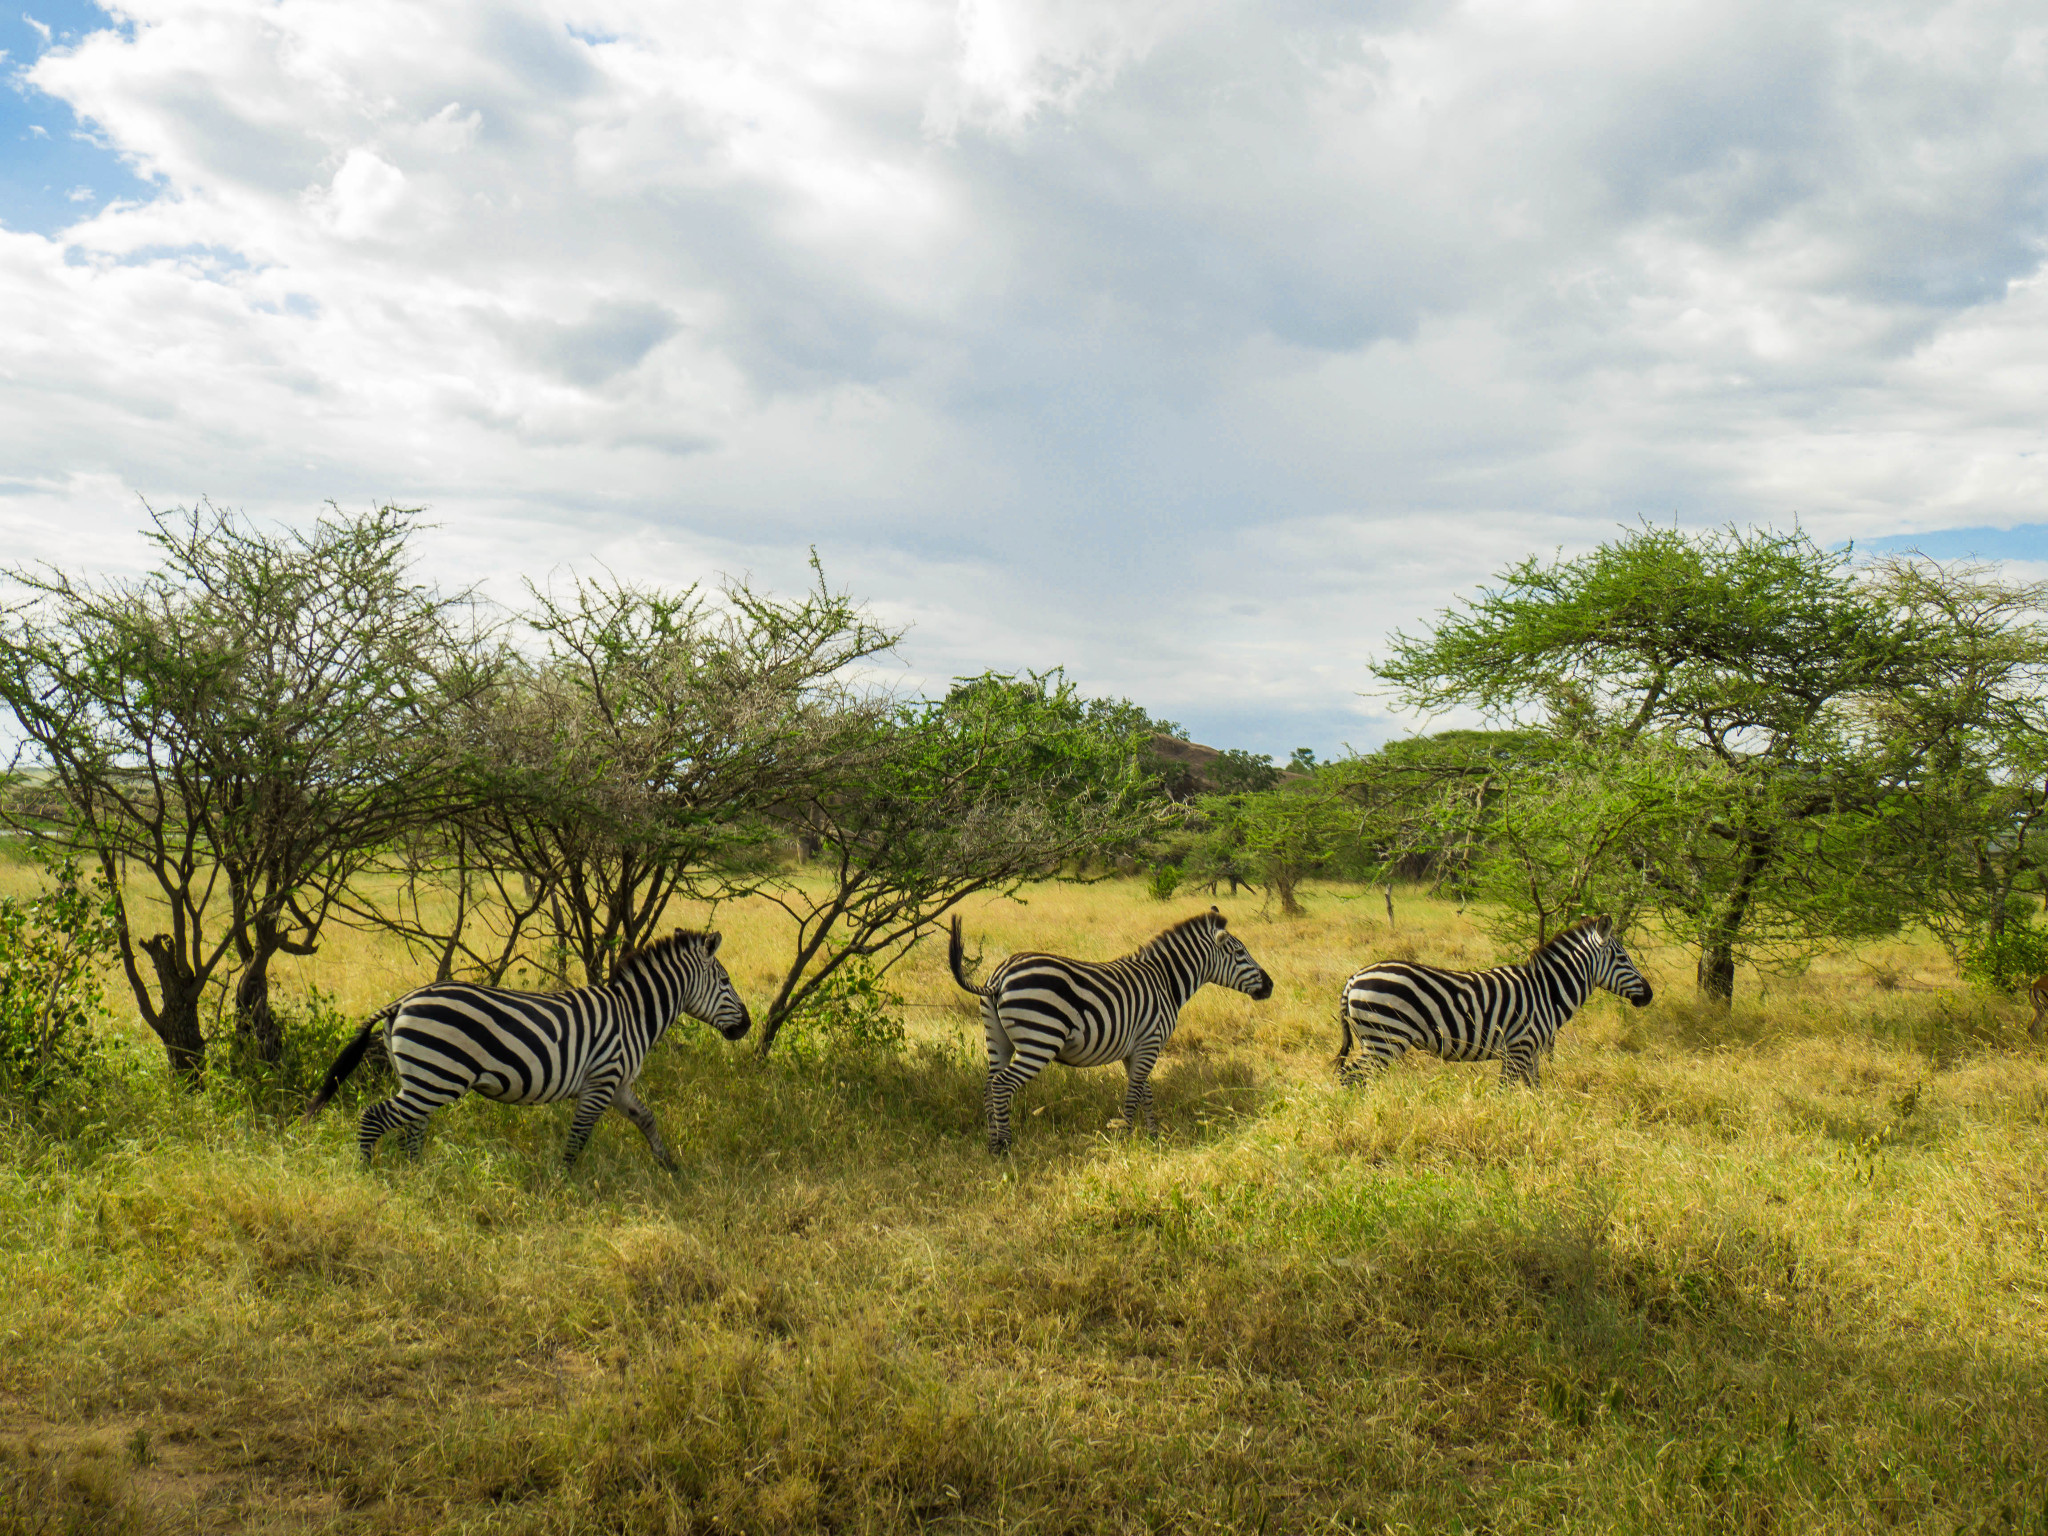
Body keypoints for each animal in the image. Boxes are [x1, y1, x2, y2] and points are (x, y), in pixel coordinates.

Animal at [303, 933, 753, 1171]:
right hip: (437, 1077)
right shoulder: (601, 1080)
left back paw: (417, 1175)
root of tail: (403, 1000)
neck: (633, 1014)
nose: (748, 1025)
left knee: (410, 1129)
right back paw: (369, 1173)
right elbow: (579, 1136)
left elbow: (648, 1120)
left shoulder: (619, 1083)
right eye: (726, 981)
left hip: (421, 1078)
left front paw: (669, 1166)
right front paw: (564, 1182)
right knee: (374, 1118)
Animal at [950, 901, 1269, 1155]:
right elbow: (1134, 1094)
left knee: (989, 1086)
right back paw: (1005, 1146)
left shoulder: (1136, 1048)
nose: (1270, 986)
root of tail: (999, 977)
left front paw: (1153, 1136)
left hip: (997, 1039)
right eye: (1240, 953)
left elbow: (1145, 1092)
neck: (1164, 980)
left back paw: (992, 1143)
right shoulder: (1150, 1042)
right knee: (1002, 1085)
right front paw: (1126, 1138)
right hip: (1039, 1040)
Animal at [1335, 921, 1654, 1089]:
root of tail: (1354, 978)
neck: (1546, 993)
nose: (1649, 995)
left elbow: (1535, 1091)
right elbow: (1505, 1091)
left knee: (1349, 1075)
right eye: (1623, 958)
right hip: (1384, 1038)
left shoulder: (1532, 1053)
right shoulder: (1518, 1048)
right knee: (1351, 1076)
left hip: (1373, 1038)